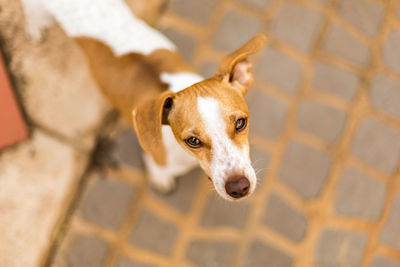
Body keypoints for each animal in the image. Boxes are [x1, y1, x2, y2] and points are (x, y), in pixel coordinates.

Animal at [21, 0, 266, 202]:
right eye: (193, 141)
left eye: (241, 123)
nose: (239, 187)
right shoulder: (158, 159)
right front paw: (161, 180)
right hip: (38, 11)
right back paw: (34, 31)